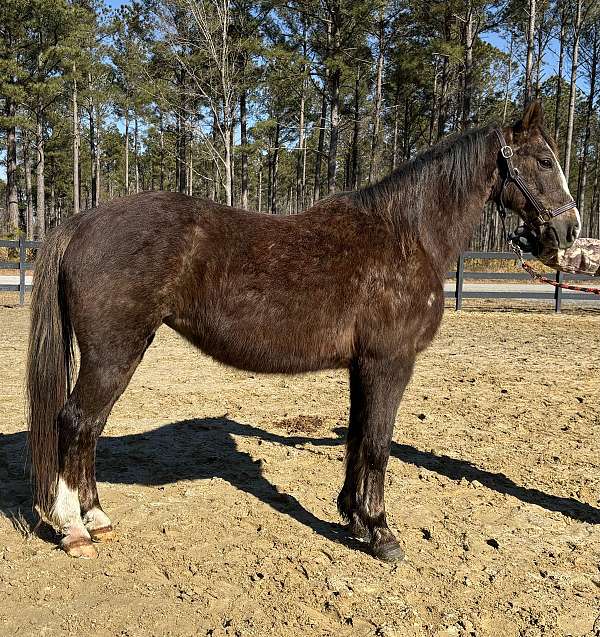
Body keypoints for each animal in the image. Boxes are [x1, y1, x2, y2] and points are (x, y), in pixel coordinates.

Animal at [28, 99, 580, 556]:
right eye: (545, 161)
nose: (569, 231)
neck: (406, 234)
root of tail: (81, 221)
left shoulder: (363, 366)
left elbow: (357, 437)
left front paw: (353, 520)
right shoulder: (390, 362)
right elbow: (378, 443)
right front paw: (381, 533)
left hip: (123, 352)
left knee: (91, 427)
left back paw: (97, 518)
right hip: (112, 354)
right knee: (74, 422)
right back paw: (74, 529)